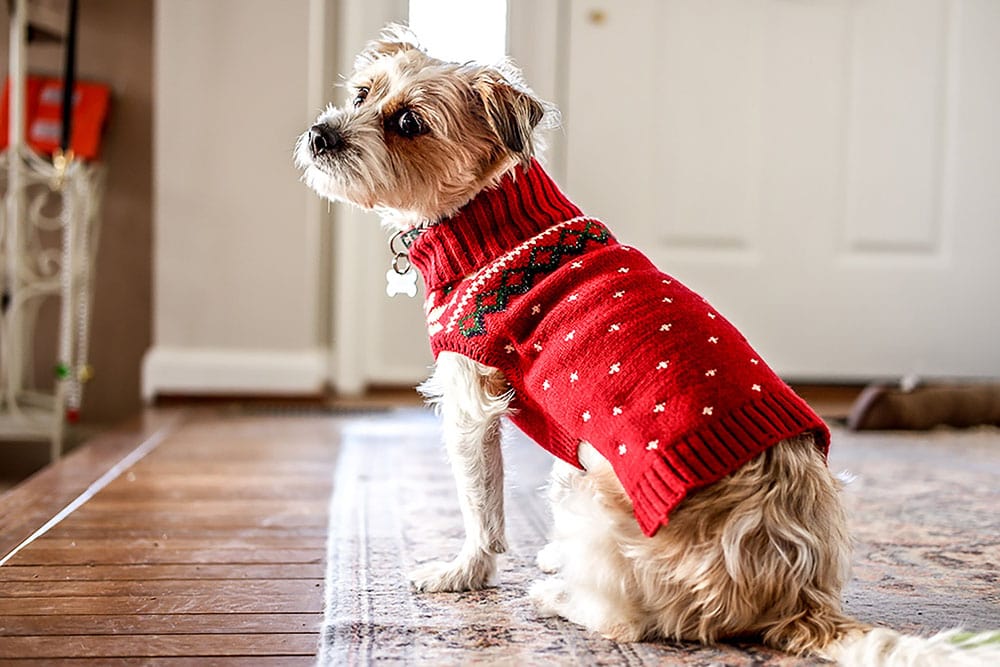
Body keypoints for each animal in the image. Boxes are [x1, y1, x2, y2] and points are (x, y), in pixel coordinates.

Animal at [298, 24, 1000, 667]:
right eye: (361, 93)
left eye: (408, 121)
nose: (320, 135)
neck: (494, 222)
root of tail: (797, 596)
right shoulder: (560, 431)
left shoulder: (473, 408)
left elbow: (482, 508)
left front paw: (464, 573)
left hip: (596, 492)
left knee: (629, 622)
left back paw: (557, 596)